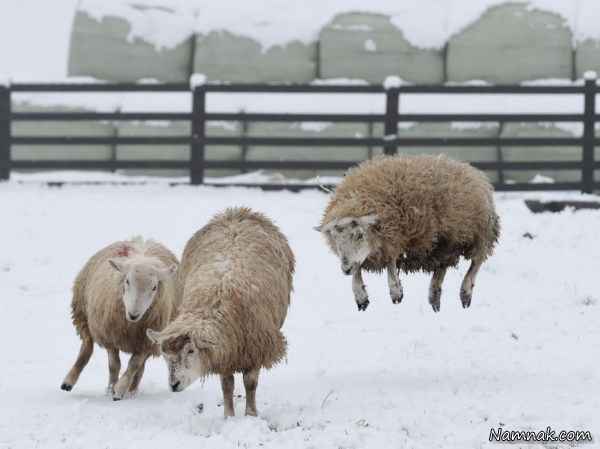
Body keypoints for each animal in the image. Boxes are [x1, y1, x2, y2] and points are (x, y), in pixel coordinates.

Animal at [60, 236, 178, 400]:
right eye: (127, 281)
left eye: (154, 287)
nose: (134, 314)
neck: (131, 325)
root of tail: (140, 240)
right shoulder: (110, 336)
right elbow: (114, 365)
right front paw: (111, 389)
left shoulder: (147, 342)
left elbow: (134, 365)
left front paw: (120, 389)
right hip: (83, 315)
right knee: (86, 348)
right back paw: (68, 381)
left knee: (139, 369)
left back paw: (132, 391)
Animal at [145, 206, 296, 416]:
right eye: (165, 356)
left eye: (191, 350)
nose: (173, 385)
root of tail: (235, 212)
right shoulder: (226, 351)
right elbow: (227, 385)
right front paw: (229, 416)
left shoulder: (255, 348)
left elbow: (250, 383)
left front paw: (250, 414)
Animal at [316, 154, 500, 312]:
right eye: (335, 239)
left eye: (360, 235)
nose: (345, 269)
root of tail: (472, 170)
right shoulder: (371, 250)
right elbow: (357, 272)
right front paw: (361, 297)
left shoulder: (393, 237)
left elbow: (390, 263)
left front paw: (396, 292)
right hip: (446, 244)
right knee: (441, 268)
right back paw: (434, 299)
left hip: (480, 235)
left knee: (476, 264)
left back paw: (465, 294)